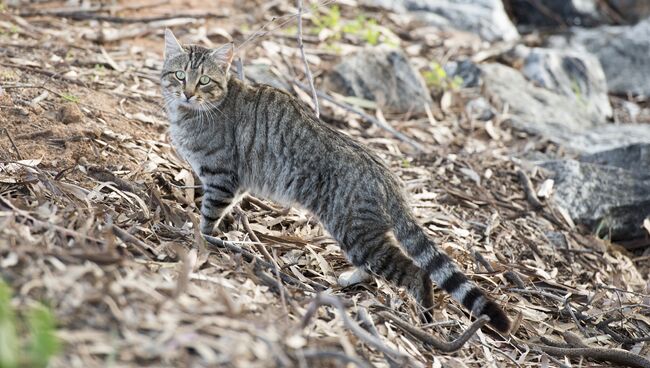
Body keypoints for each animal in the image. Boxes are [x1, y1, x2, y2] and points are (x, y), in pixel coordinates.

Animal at [159, 28, 508, 332]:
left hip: (356, 233)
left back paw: (425, 318)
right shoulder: (235, 183)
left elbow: (208, 215)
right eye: (180, 76)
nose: (187, 93)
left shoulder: (221, 176)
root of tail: (388, 178)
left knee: (415, 272)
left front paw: (200, 237)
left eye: (204, 80)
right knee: (376, 270)